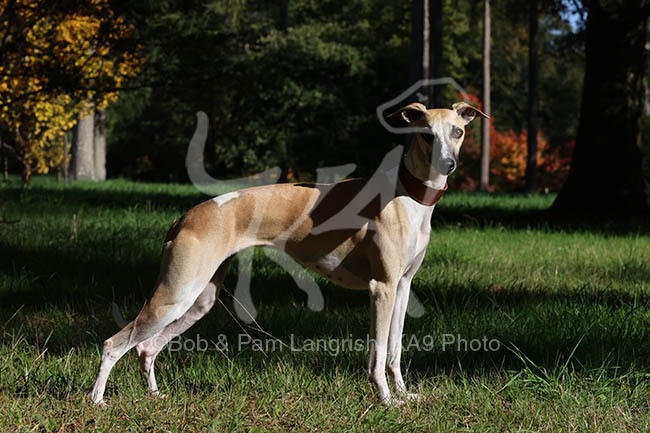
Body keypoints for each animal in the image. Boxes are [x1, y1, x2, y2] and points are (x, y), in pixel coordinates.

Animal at [90, 101, 487, 407]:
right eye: (426, 134)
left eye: (457, 132)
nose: (448, 165)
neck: (407, 194)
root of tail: (185, 216)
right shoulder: (382, 288)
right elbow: (376, 356)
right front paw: (386, 401)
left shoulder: (403, 286)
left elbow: (394, 350)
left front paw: (404, 396)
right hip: (176, 294)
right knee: (114, 343)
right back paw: (97, 401)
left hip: (199, 299)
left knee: (147, 347)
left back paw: (155, 395)